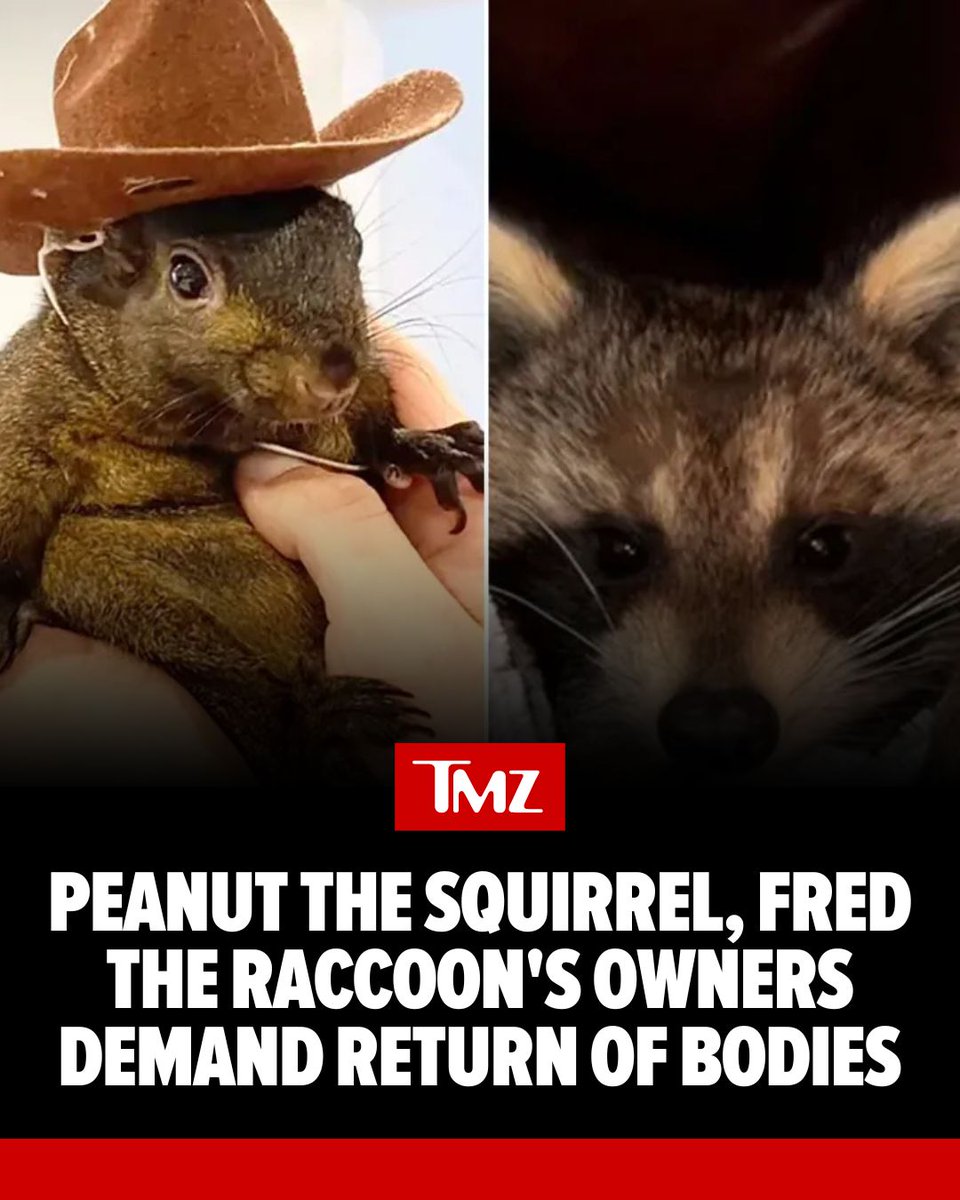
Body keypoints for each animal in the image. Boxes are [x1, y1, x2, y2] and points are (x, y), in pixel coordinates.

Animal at [0, 186, 484, 781]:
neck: (209, 426)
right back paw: (322, 726)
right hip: (97, 573)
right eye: (185, 277)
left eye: (355, 242)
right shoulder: (31, 399)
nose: (335, 375)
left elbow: (367, 425)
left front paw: (421, 447)